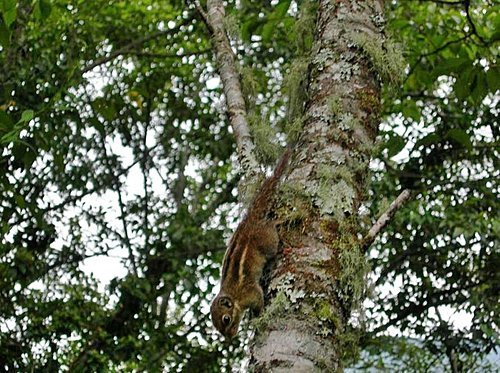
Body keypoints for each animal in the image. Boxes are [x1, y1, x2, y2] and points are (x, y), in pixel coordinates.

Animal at [209, 148, 292, 338]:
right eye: (218, 329)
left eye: (226, 319)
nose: (230, 337)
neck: (234, 298)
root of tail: (249, 221)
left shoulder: (250, 292)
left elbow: (259, 298)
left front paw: (258, 315)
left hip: (267, 240)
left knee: (272, 232)